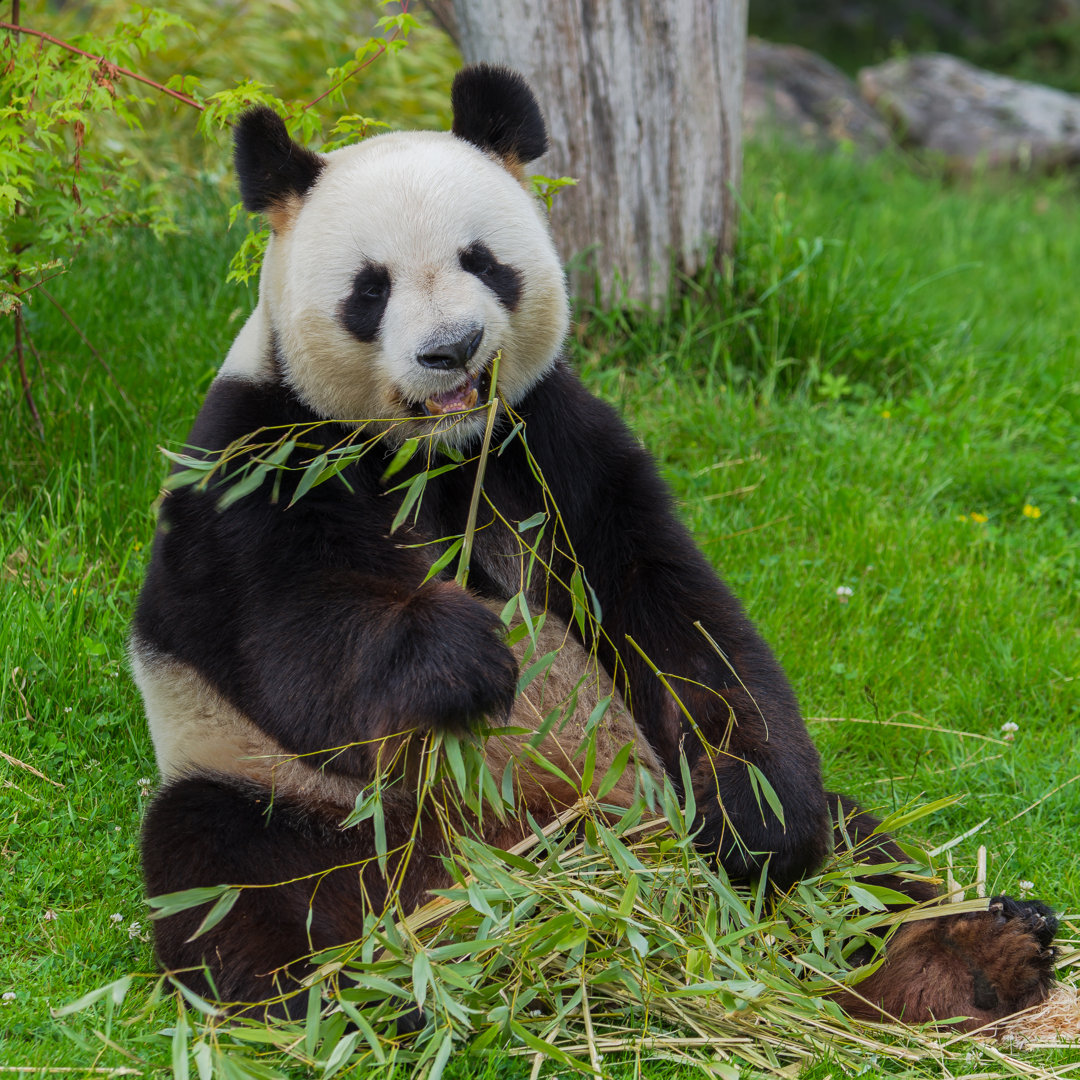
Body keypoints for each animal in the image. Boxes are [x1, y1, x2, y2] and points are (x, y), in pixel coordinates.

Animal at [130, 63, 1058, 1023]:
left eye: (482, 262)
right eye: (370, 288)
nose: (452, 348)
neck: (438, 453)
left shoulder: (550, 444)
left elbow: (674, 619)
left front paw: (755, 820)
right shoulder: (259, 459)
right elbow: (290, 642)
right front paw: (458, 656)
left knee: (861, 861)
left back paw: (971, 956)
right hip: (304, 802)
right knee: (233, 869)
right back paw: (380, 996)